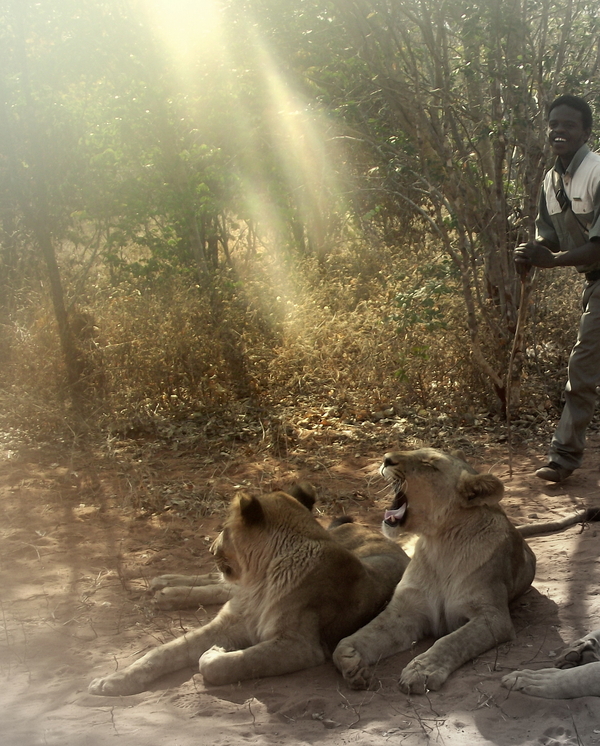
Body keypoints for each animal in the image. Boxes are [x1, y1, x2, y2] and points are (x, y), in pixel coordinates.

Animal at [89, 483, 409, 695]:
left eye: (224, 530)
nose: (210, 548)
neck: (261, 581)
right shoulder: (230, 621)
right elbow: (164, 651)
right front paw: (114, 680)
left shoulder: (300, 646)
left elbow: (227, 665)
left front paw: (215, 653)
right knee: (218, 584)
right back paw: (165, 586)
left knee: (221, 587)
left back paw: (165, 591)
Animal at [333, 447, 600, 694]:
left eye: (429, 464)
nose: (386, 458)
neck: (439, 545)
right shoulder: (405, 611)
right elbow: (354, 638)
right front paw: (352, 662)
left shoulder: (494, 617)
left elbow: (451, 640)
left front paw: (423, 670)